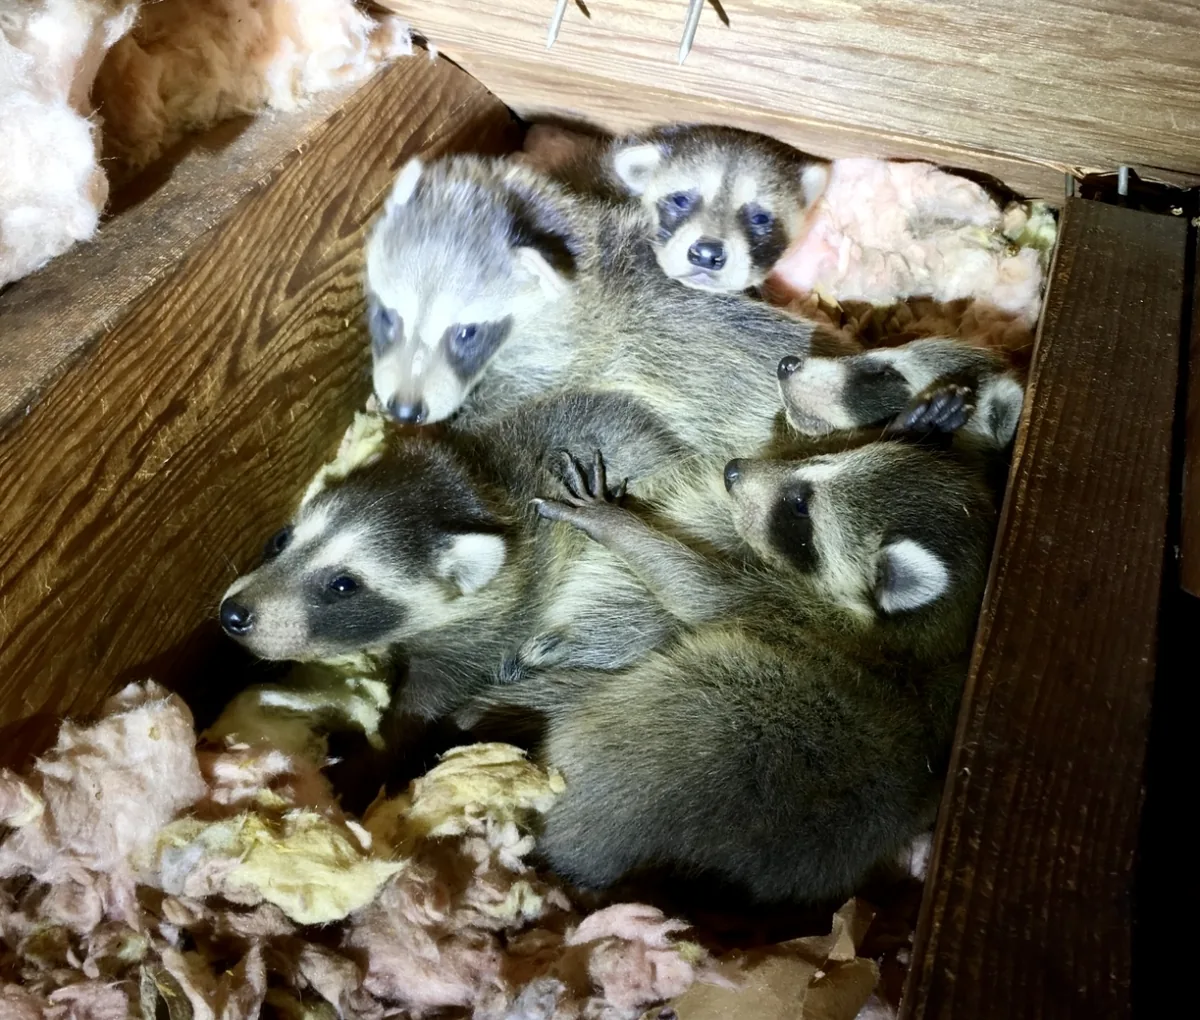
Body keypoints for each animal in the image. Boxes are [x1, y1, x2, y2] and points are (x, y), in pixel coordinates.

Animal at [497, 434, 999, 903]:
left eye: (800, 507)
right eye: (823, 459)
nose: (733, 470)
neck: (922, 637)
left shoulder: (775, 602)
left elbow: (690, 589)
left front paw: (612, 523)